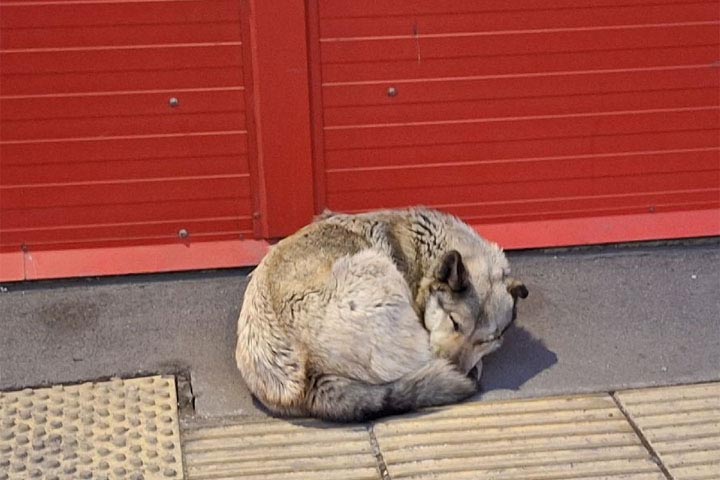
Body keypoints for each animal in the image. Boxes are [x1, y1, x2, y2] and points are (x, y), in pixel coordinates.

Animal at [236, 208, 528, 422]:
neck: (424, 250)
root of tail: (308, 376)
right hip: (376, 265)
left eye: (484, 341)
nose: (456, 368)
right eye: (454, 323)